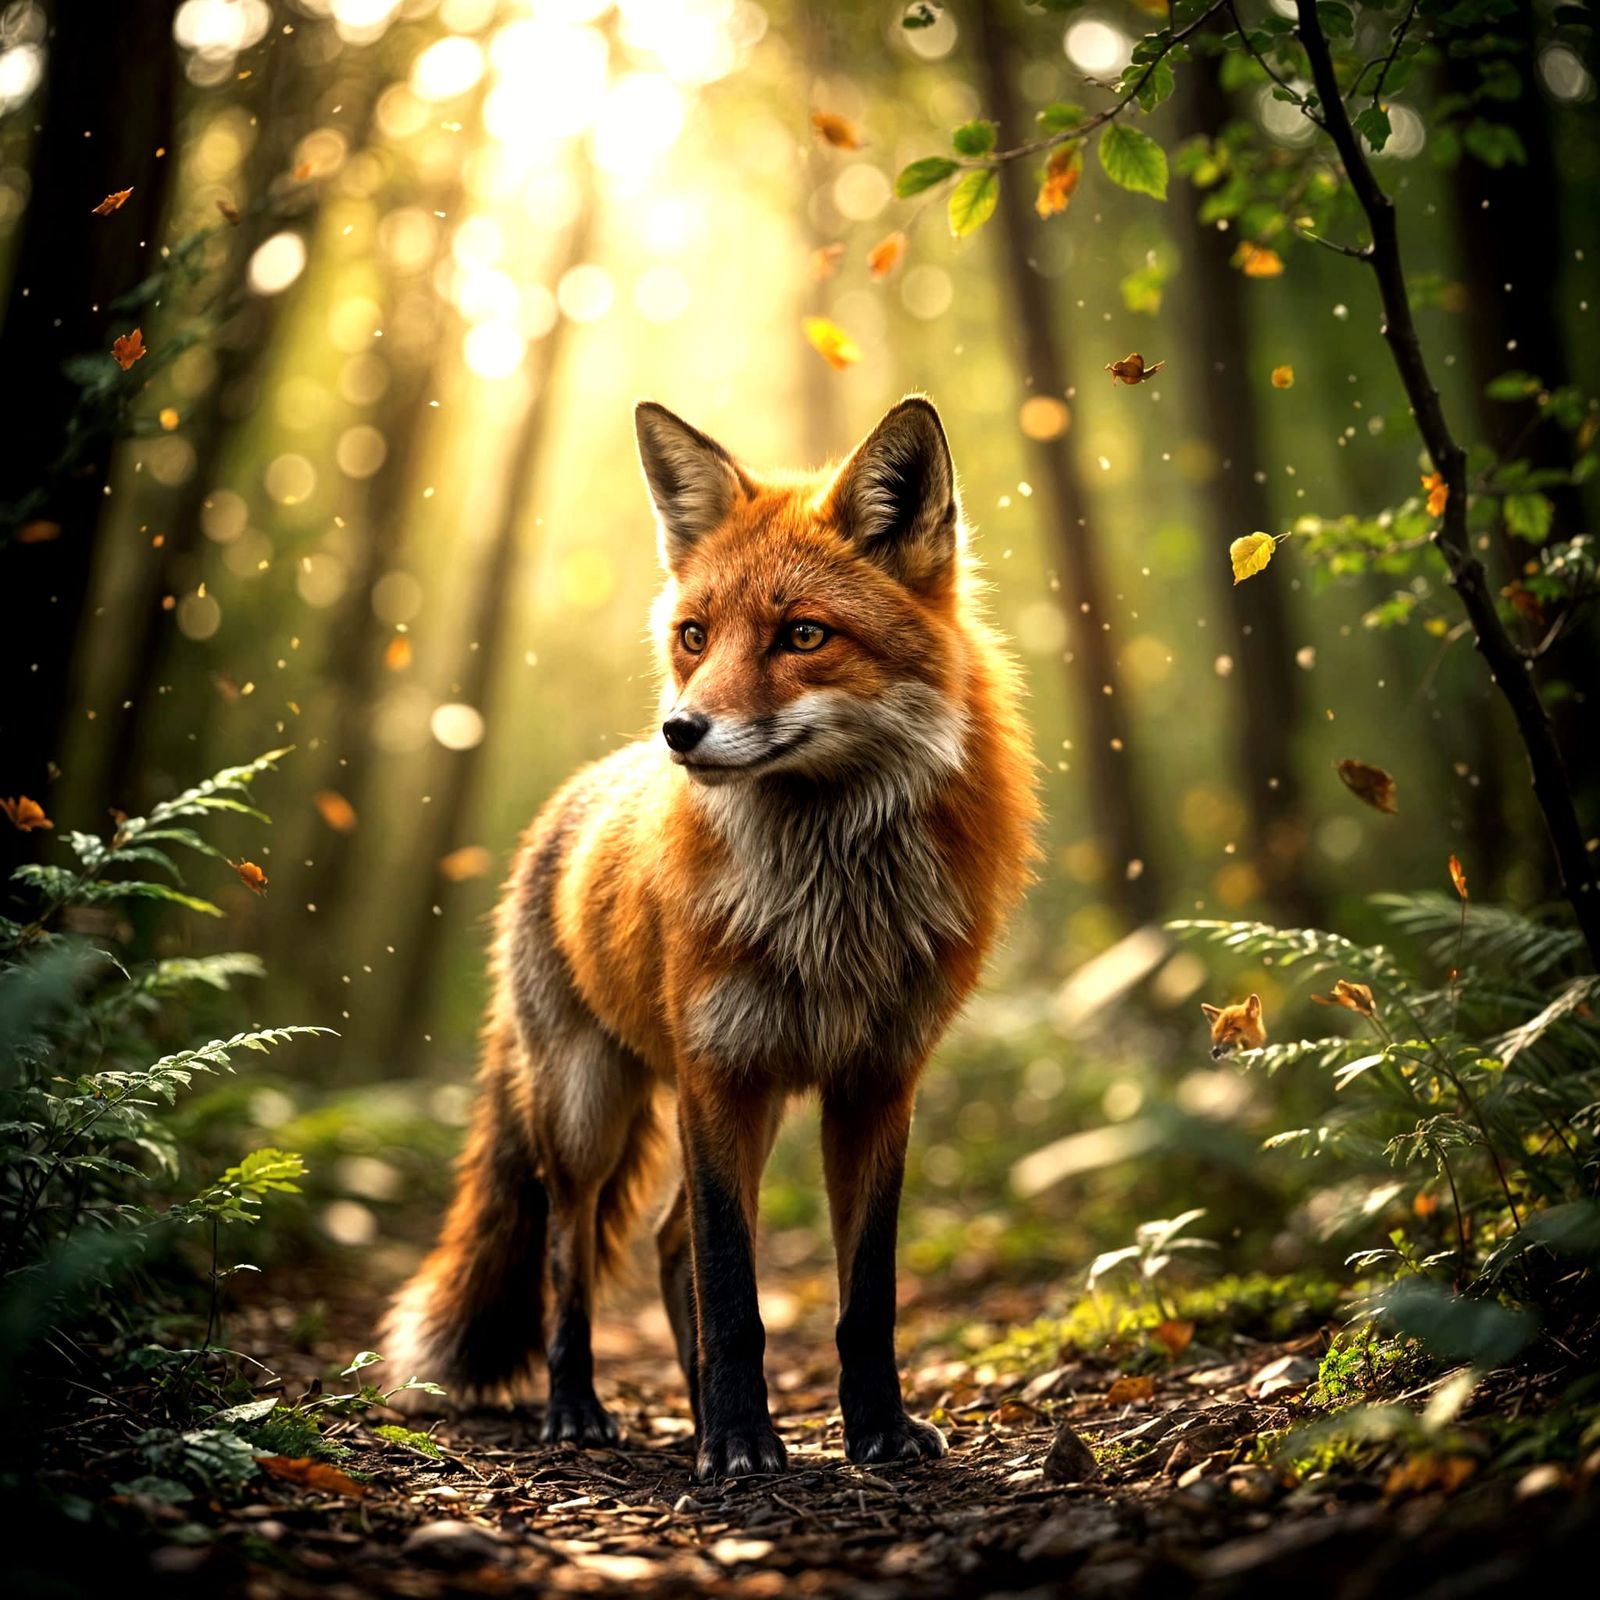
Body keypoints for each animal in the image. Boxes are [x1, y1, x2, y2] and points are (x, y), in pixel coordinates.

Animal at [381, 395, 1037, 1480]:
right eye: (694, 635)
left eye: (803, 634)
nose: (679, 732)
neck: (829, 902)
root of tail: (566, 800)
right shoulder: (716, 1068)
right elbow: (733, 1291)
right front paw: (736, 1441)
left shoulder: (875, 1080)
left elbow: (864, 1296)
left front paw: (874, 1430)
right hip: (586, 1110)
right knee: (569, 1254)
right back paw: (581, 1408)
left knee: (666, 1242)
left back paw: (692, 1411)